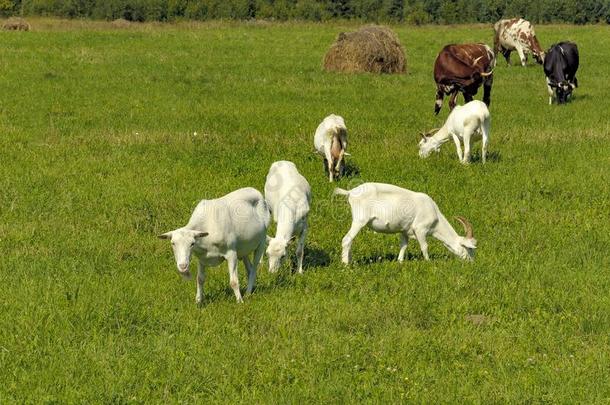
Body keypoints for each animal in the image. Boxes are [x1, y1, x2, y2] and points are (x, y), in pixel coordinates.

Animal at [332, 183, 476, 266]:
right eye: (469, 248)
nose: (471, 262)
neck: (436, 217)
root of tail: (350, 192)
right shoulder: (420, 229)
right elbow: (424, 246)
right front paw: (428, 262)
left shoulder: (404, 230)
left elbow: (403, 245)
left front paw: (400, 261)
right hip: (359, 220)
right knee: (347, 239)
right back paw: (346, 265)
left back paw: (350, 261)